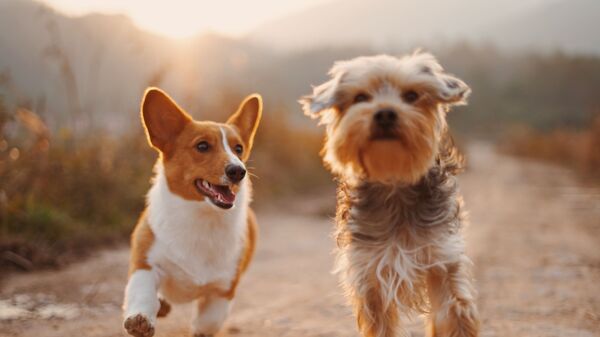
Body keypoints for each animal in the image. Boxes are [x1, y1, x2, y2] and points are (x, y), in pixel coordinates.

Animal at [122, 87, 260, 336]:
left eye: (239, 149)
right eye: (202, 146)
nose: (238, 171)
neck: (201, 217)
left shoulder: (222, 290)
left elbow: (209, 322)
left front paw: (200, 329)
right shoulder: (146, 263)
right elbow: (142, 292)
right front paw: (140, 319)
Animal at [302, 52, 480, 336]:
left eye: (411, 95)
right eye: (360, 97)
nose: (385, 113)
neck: (394, 181)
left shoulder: (442, 259)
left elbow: (454, 313)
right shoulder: (370, 273)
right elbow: (381, 325)